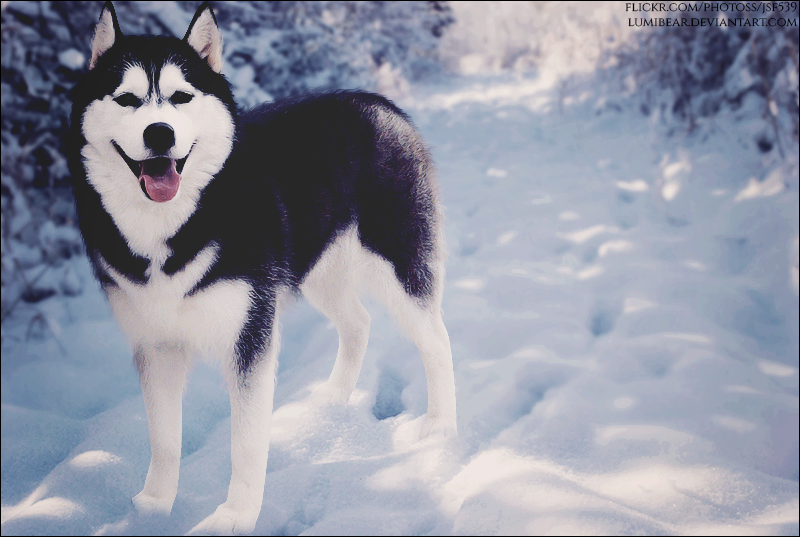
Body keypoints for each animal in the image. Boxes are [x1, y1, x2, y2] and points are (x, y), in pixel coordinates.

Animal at [69, 2, 456, 532]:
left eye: (181, 97)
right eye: (126, 99)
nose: (159, 133)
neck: (174, 227)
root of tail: (378, 103)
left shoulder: (249, 337)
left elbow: (246, 445)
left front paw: (235, 516)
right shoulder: (156, 343)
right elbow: (164, 440)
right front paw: (154, 506)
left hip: (397, 265)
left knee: (436, 340)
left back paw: (439, 427)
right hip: (317, 272)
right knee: (358, 322)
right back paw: (333, 398)